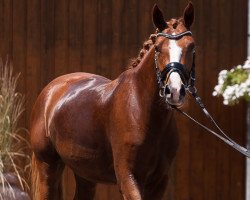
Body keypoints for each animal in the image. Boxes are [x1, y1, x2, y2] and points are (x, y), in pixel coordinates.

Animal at [30, 1, 195, 200]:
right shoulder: (127, 177)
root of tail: (50, 90)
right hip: (47, 165)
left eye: (191, 47)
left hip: (85, 173)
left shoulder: (159, 181)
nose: (175, 91)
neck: (141, 108)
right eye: (157, 48)